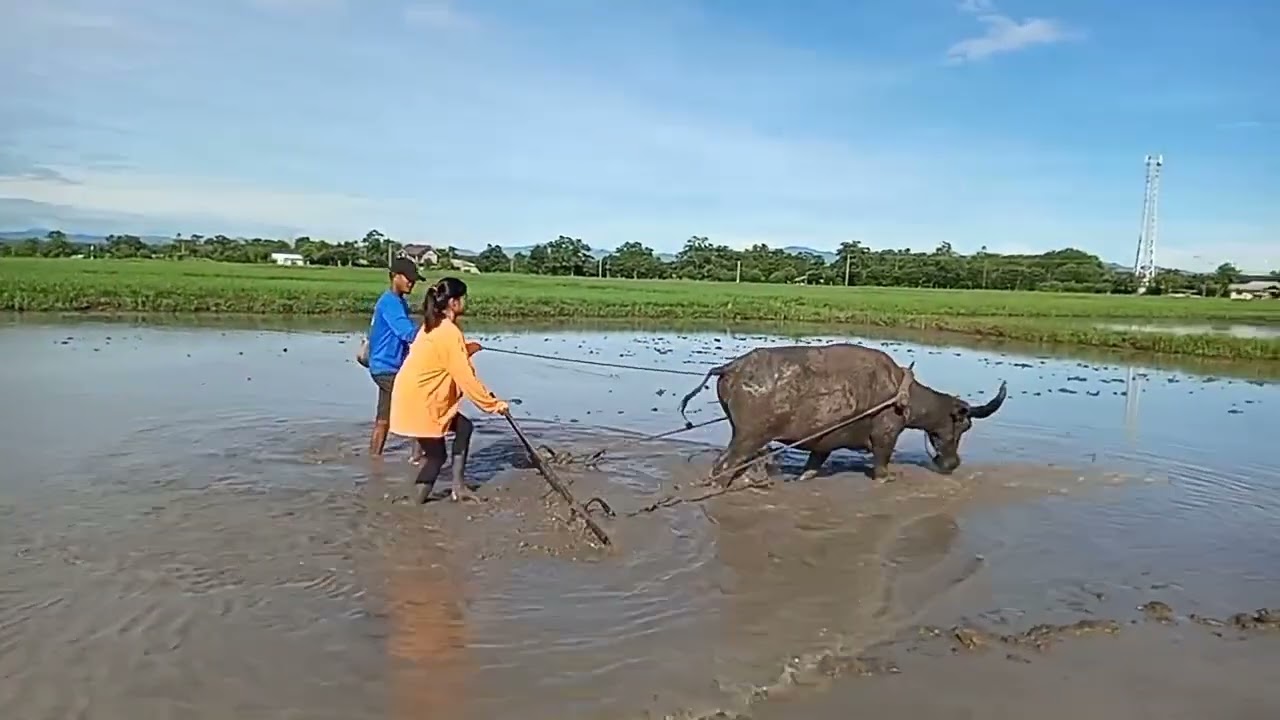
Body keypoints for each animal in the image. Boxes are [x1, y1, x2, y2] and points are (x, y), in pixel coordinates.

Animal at [678, 343, 1007, 485]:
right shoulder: (886, 434)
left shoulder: (822, 444)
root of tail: (730, 367)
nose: (952, 463)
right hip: (748, 437)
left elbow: (813, 465)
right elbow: (882, 462)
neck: (901, 395)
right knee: (723, 466)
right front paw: (887, 478)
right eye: (964, 425)